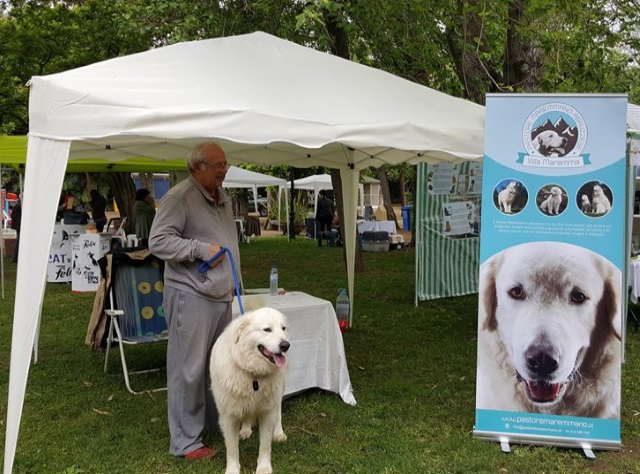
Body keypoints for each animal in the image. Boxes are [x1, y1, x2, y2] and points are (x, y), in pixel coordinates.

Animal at [210, 306, 290, 474]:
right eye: (267, 330)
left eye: (283, 328)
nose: (286, 346)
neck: (253, 373)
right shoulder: (228, 416)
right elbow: (232, 449)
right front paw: (232, 469)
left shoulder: (267, 412)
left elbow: (265, 446)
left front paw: (264, 467)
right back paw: (246, 430)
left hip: (278, 394)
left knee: (279, 413)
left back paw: (279, 433)